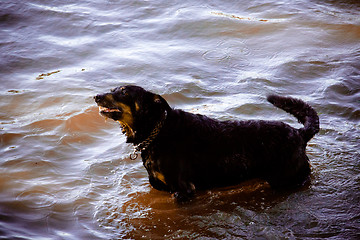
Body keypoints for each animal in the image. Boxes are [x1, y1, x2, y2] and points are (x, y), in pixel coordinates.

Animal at [94, 85, 320, 202]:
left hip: (286, 179)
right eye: (112, 89)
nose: (96, 96)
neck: (157, 132)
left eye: (124, 92)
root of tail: (299, 134)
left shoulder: (183, 191)